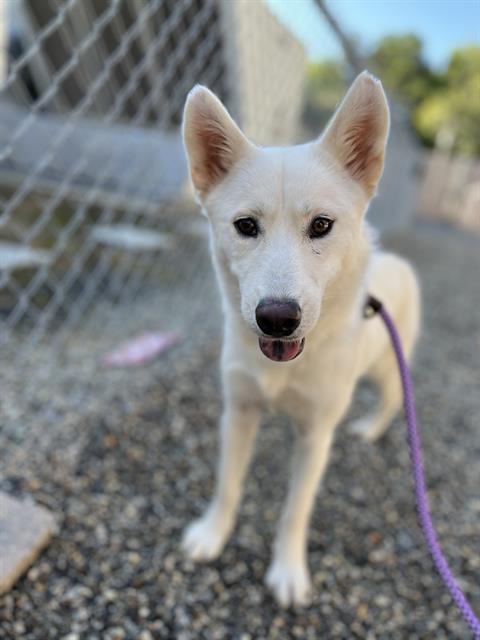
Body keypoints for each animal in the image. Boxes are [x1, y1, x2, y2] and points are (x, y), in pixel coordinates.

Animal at [180, 72, 420, 608]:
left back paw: (370, 430)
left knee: (392, 402)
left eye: (322, 226)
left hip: (389, 371)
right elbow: (229, 484)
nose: (276, 319)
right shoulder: (240, 412)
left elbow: (296, 509)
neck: (281, 369)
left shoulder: (315, 436)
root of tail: (398, 264)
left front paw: (288, 572)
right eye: (246, 226)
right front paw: (213, 534)